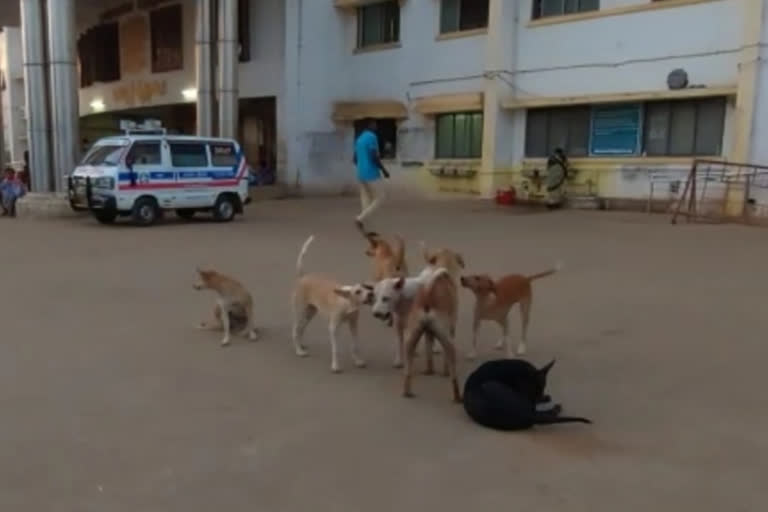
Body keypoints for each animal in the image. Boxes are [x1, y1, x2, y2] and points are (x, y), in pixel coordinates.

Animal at [292, 235, 376, 372]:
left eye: (366, 288)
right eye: (358, 291)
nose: (370, 294)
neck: (347, 303)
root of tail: (302, 277)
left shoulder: (353, 325)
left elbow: (355, 345)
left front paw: (358, 361)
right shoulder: (334, 328)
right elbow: (335, 349)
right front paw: (335, 366)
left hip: (310, 313)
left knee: (301, 329)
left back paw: (301, 345)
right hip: (300, 312)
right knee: (295, 329)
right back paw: (299, 350)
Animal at [462, 358, 592, 430]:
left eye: (542, 388)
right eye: (531, 391)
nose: (536, 397)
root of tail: (526, 416)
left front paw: (544, 397)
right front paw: (544, 398)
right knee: (542, 413)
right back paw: (556, 408)